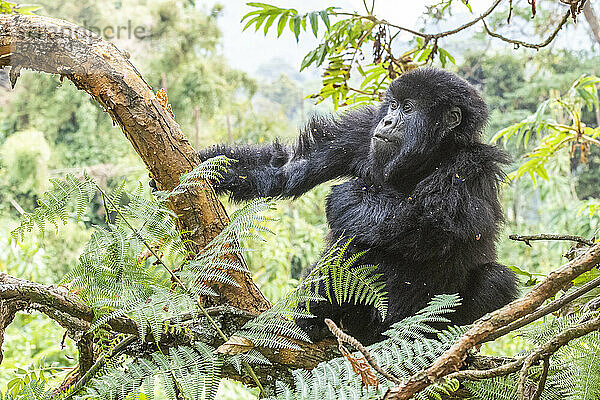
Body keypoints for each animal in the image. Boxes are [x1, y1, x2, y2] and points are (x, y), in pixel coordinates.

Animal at [195, 68, 516, 344]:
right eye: (393, 106)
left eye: (408, 108)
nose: (387, 122)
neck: (428, 157)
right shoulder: (362, 131)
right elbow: (287, 168)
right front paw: (204, 165)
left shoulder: (473, 166)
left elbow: (435, 226)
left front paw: (347, 199)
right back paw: (316, 315)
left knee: (495, 279)